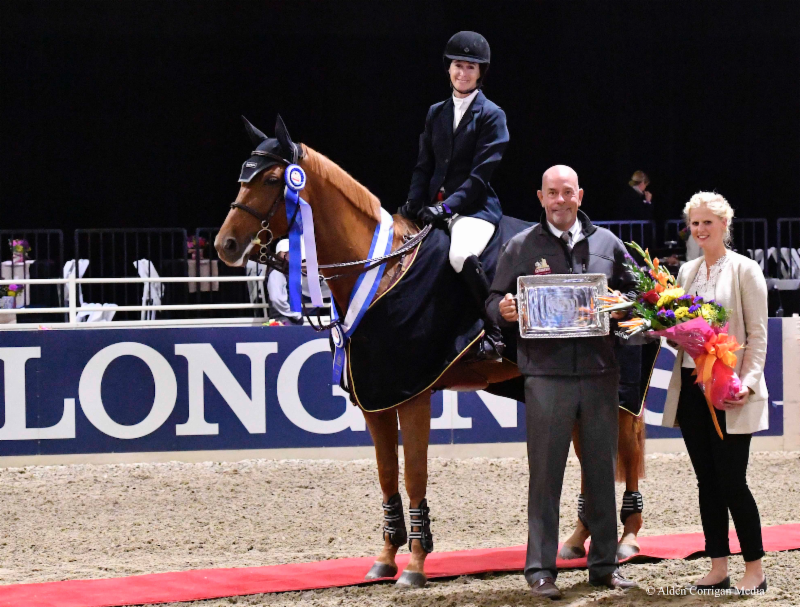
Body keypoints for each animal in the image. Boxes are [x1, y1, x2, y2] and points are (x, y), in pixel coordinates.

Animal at [216, 116, 648, 588]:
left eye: (273, 179)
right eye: (241, 177)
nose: (225, 246)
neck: (381, 269)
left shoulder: (413, 395)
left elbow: (414, 475)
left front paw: (416, 564)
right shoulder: (376, 400)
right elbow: (388, 476)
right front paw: (386, 558)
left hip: (621, 391)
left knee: (626, 449)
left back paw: (627, 540)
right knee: (590, 455)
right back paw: (575, 540)